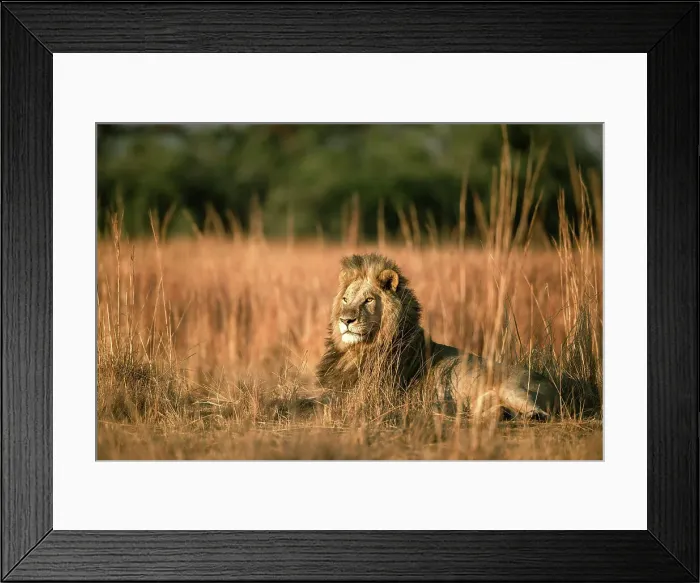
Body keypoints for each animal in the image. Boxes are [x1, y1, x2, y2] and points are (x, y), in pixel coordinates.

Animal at [315, 253, 563, 421]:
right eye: (346, 299)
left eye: (368, 300)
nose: (346, 320)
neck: (358, 349)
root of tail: (555, 385)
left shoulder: (366, 394)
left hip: (512, 389)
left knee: (540, 413)